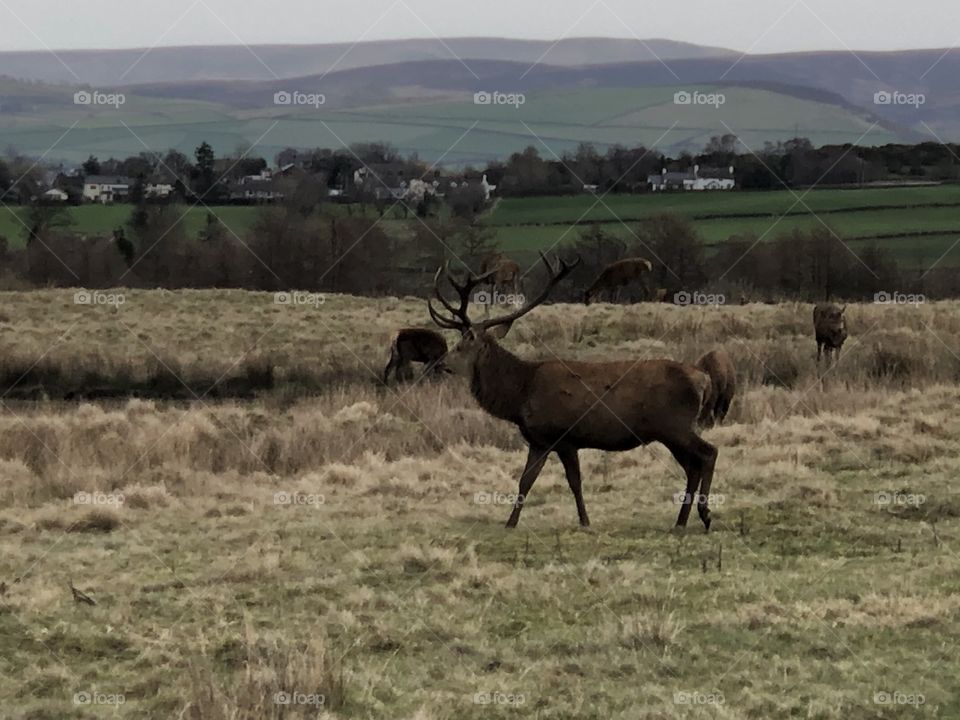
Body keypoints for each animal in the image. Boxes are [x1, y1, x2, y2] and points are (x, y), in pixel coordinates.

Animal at [429, 254, 719, 531]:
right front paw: (510, 522)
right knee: (692, 466)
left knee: (709, 453)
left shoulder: (565, 436)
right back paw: (681, 520)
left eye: (461, 346)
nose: (441, 364)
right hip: (669, 432)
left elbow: (574, 481)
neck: (521, 394)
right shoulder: (539, 440)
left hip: (675, 425)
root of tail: (704, 379)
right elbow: (525, 481)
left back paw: (705, 514)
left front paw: (585, 521)